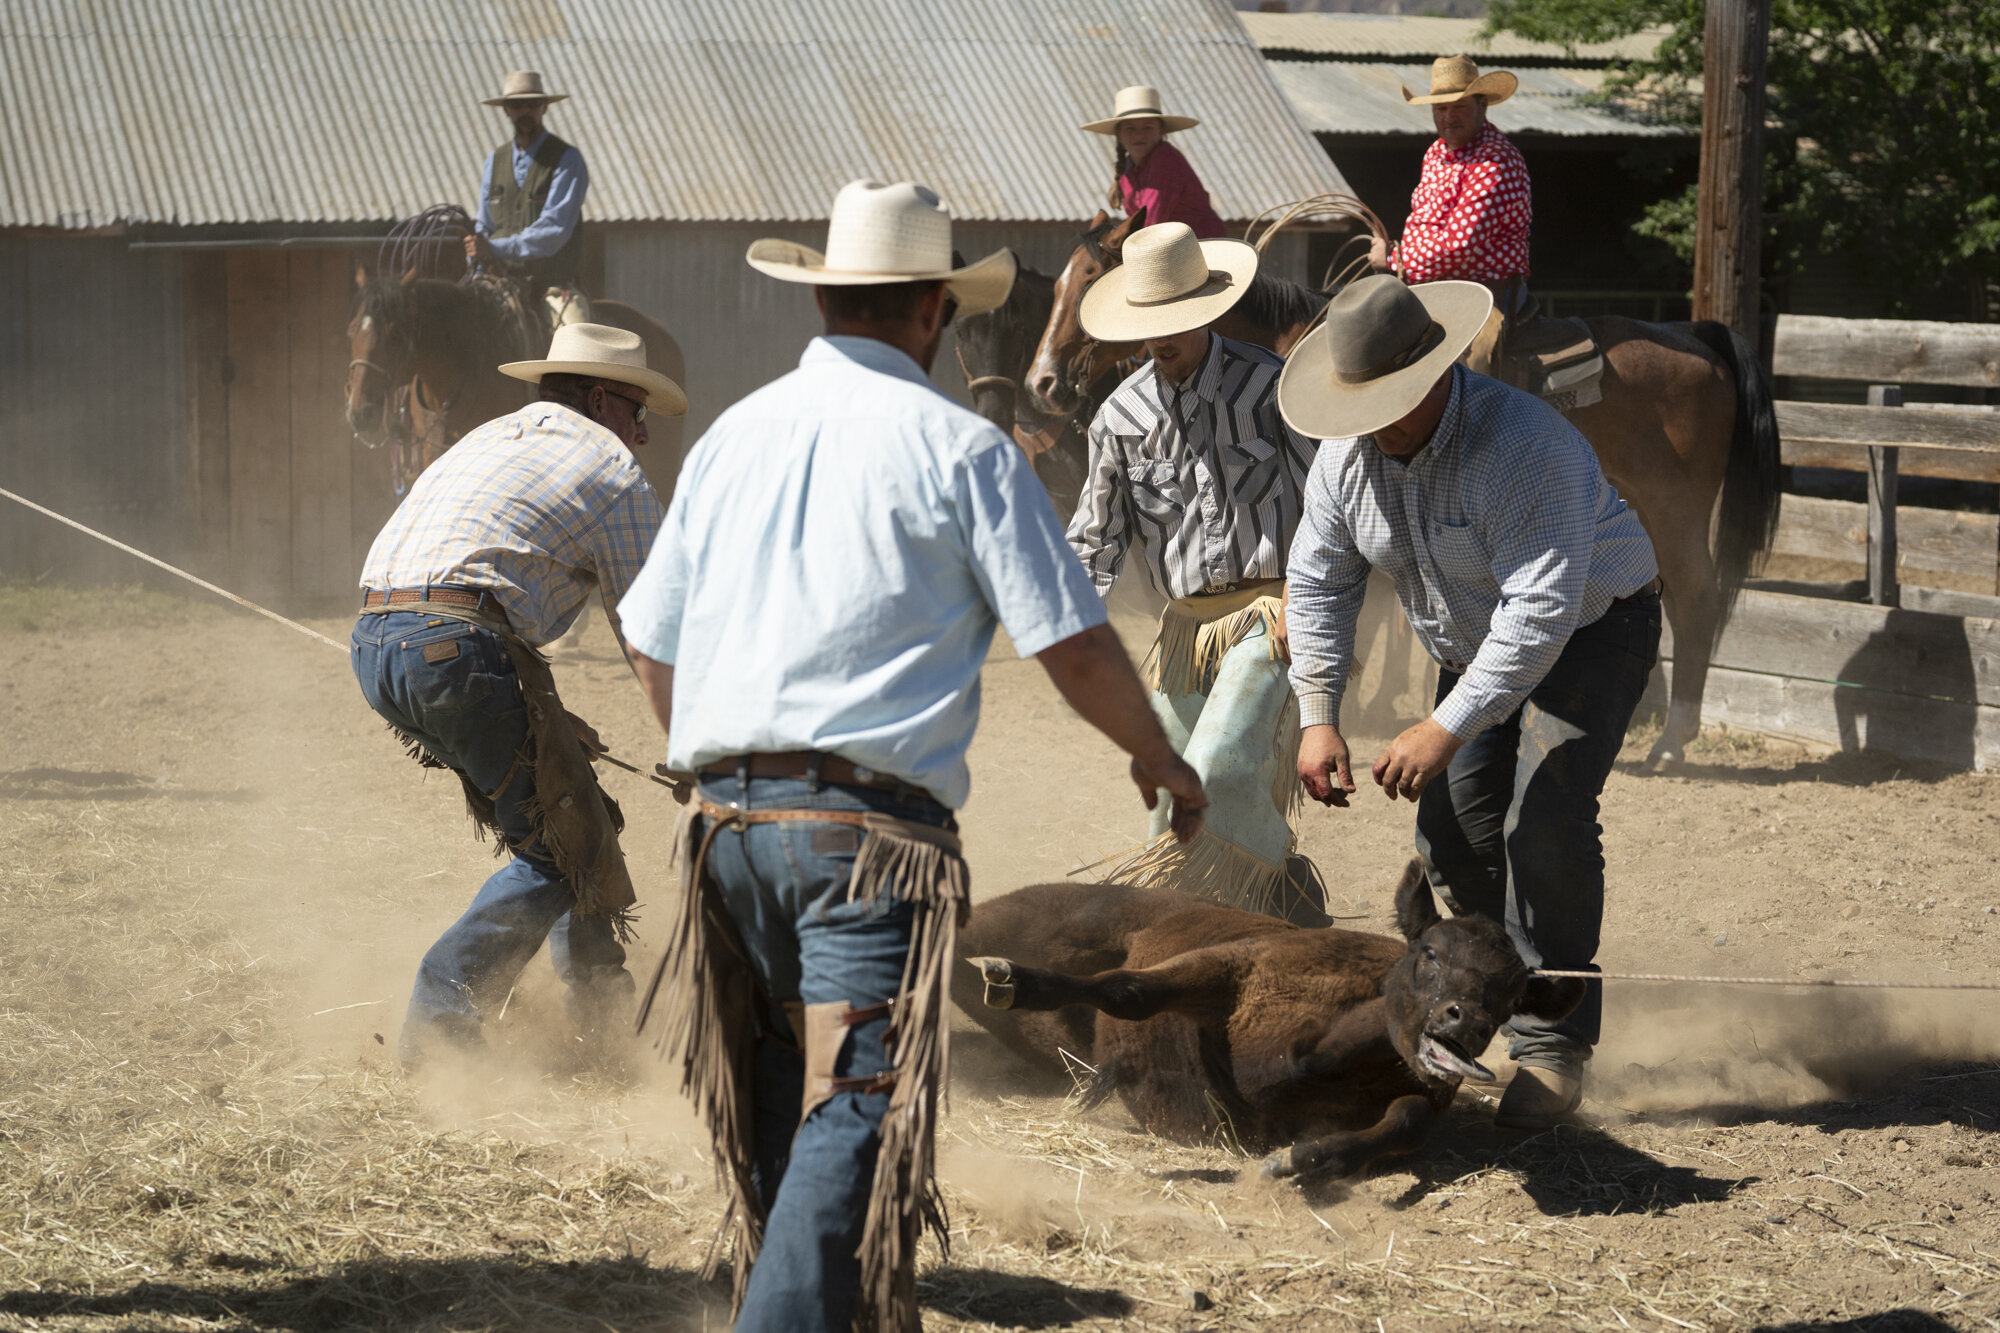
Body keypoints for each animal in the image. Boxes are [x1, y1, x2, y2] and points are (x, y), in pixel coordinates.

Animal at [952, 860, 1576, 1176]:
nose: (1467, 1021)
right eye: (1430, 953)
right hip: (1049, 919)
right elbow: (1128, 991)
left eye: (1512, 997)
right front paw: (1017, 982)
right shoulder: (1221, 968)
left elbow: (1409, 1119)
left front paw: (1304, 1159)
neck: (1318, 1057)